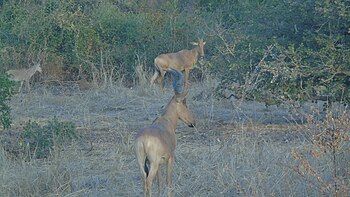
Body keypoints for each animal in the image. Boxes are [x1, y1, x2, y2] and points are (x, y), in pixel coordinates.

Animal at [135, 68, 196, 197]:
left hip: (142, 162)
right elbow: (168, 181)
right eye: (185, 103)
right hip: (152, 163)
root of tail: (143, 140)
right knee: (149, 181)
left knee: (144, 180)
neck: (165, 121)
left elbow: (160, 182)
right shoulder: (170, 158)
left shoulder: (159, 163)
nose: (193, 123)